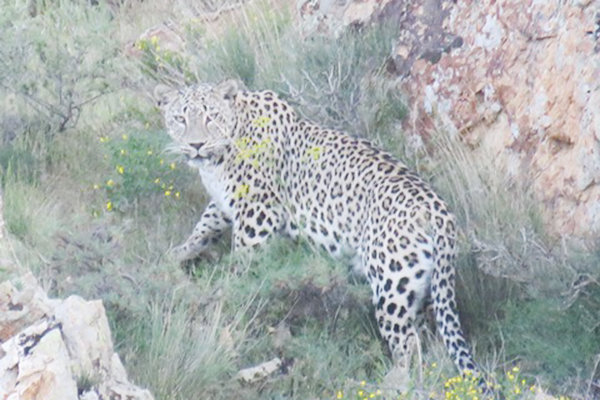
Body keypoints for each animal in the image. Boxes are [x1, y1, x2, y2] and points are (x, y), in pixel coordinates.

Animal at [155, 80, 478, 376]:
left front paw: (230, 290)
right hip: (417, 285)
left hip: (392, 283)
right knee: (427, 336)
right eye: (180, 119)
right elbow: (205, 226)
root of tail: (439, 211)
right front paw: (176, 254)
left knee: (408, 342)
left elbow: (243, 261)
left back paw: (394, 382)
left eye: (211, 117)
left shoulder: (257, 214)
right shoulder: (226, 204)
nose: (196, 145)